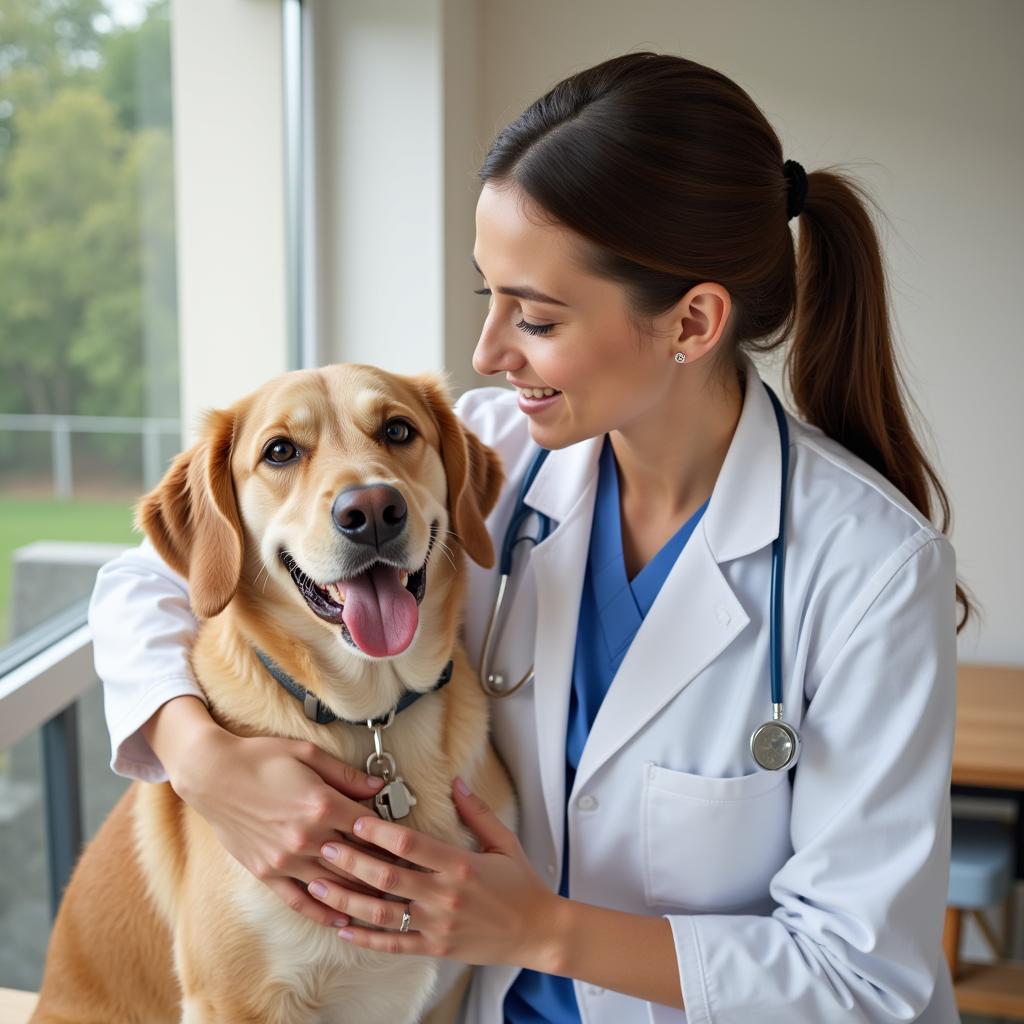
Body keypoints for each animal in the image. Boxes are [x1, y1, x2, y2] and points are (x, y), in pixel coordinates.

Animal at [33, 364, 520, 1019]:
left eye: (398, 430)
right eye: (280, 451)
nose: (372, 509)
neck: (372, 720)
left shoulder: (448, 991)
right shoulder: (233, 999)